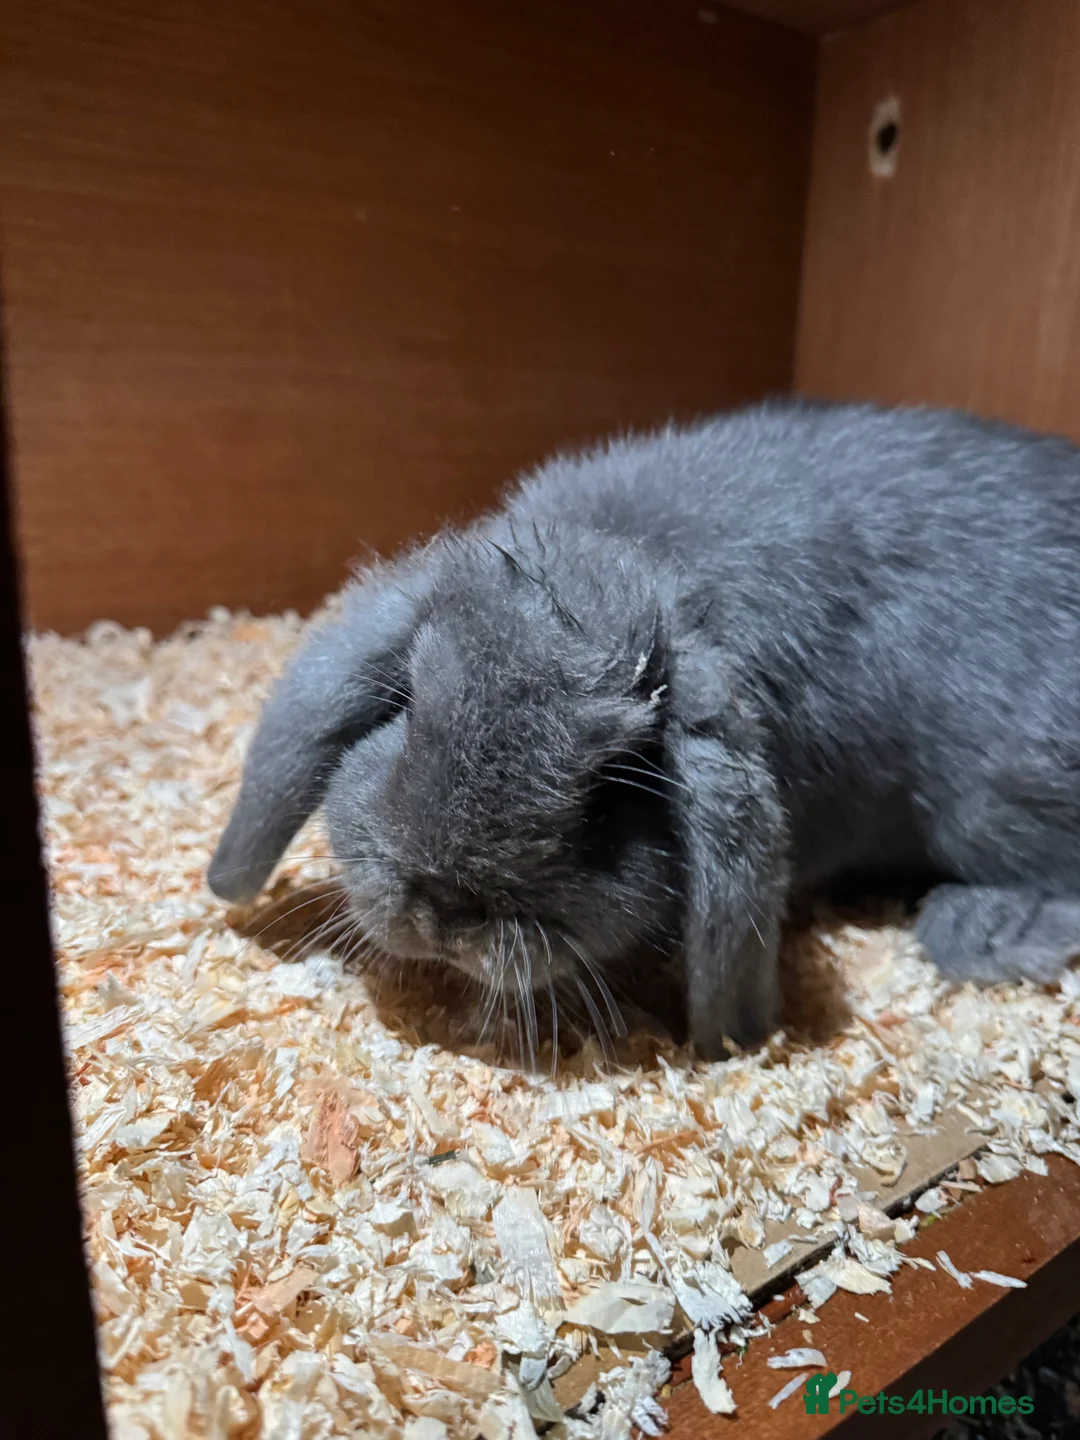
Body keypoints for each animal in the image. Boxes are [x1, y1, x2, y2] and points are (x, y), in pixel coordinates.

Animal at [208, 399, 1080, 1061]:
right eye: (411, 705)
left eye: (608, 795)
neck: (633, 553)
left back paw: (982, 927)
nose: (448, 913)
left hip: (991, 804)